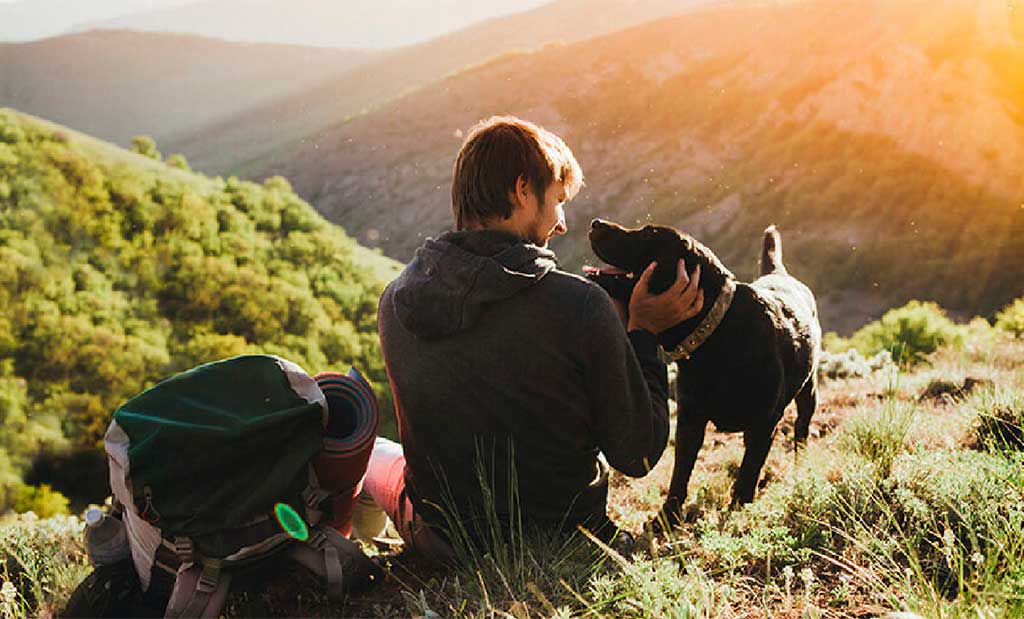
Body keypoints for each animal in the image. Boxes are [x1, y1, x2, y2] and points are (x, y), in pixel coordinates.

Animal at [589, 219, 819, 522]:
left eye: (648, 234)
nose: (596, 223)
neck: (716, 332)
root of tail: (780, 274)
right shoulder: (690, 419)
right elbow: (681, 472)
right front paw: (668, 517)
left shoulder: (763, 423)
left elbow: (748, 473)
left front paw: (738, 511)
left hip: (808, 391)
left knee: (801, 429)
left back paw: (799, 464)